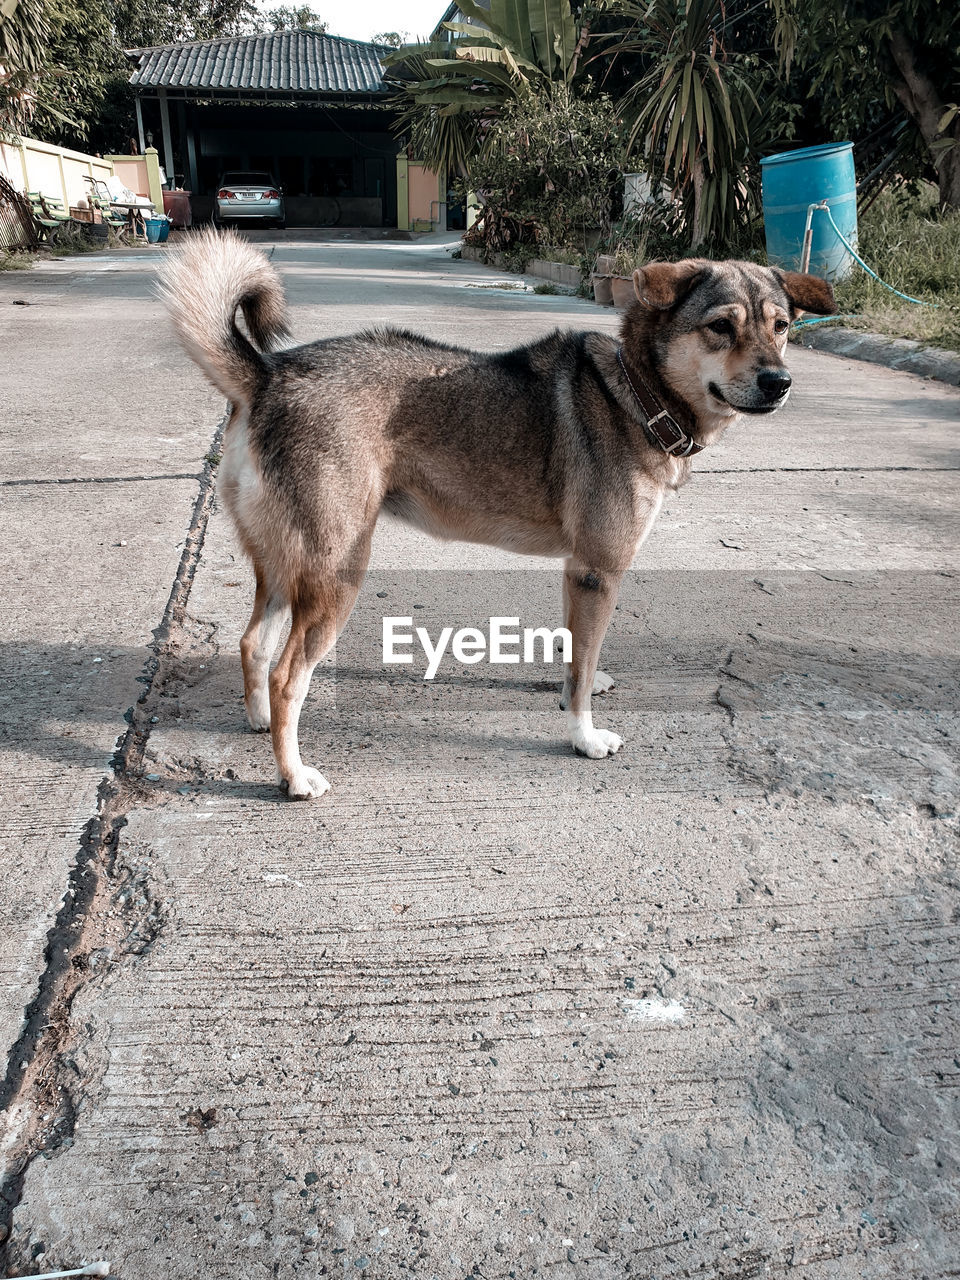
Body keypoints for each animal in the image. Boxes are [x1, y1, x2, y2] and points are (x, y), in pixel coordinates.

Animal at [161, 225, 839, 793]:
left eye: (781, 326)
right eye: (721, 327)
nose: (779, 382)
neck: (637, 393)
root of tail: (269, 374)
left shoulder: (577, 573)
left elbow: (578, 654)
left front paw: (581, 685)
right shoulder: (597, 571)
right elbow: (581, 671)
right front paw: (584, 735)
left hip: (285, 568)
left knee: (252, 644)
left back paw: (257, 721)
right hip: (336, 576)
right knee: (286, 676)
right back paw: (294, 774)